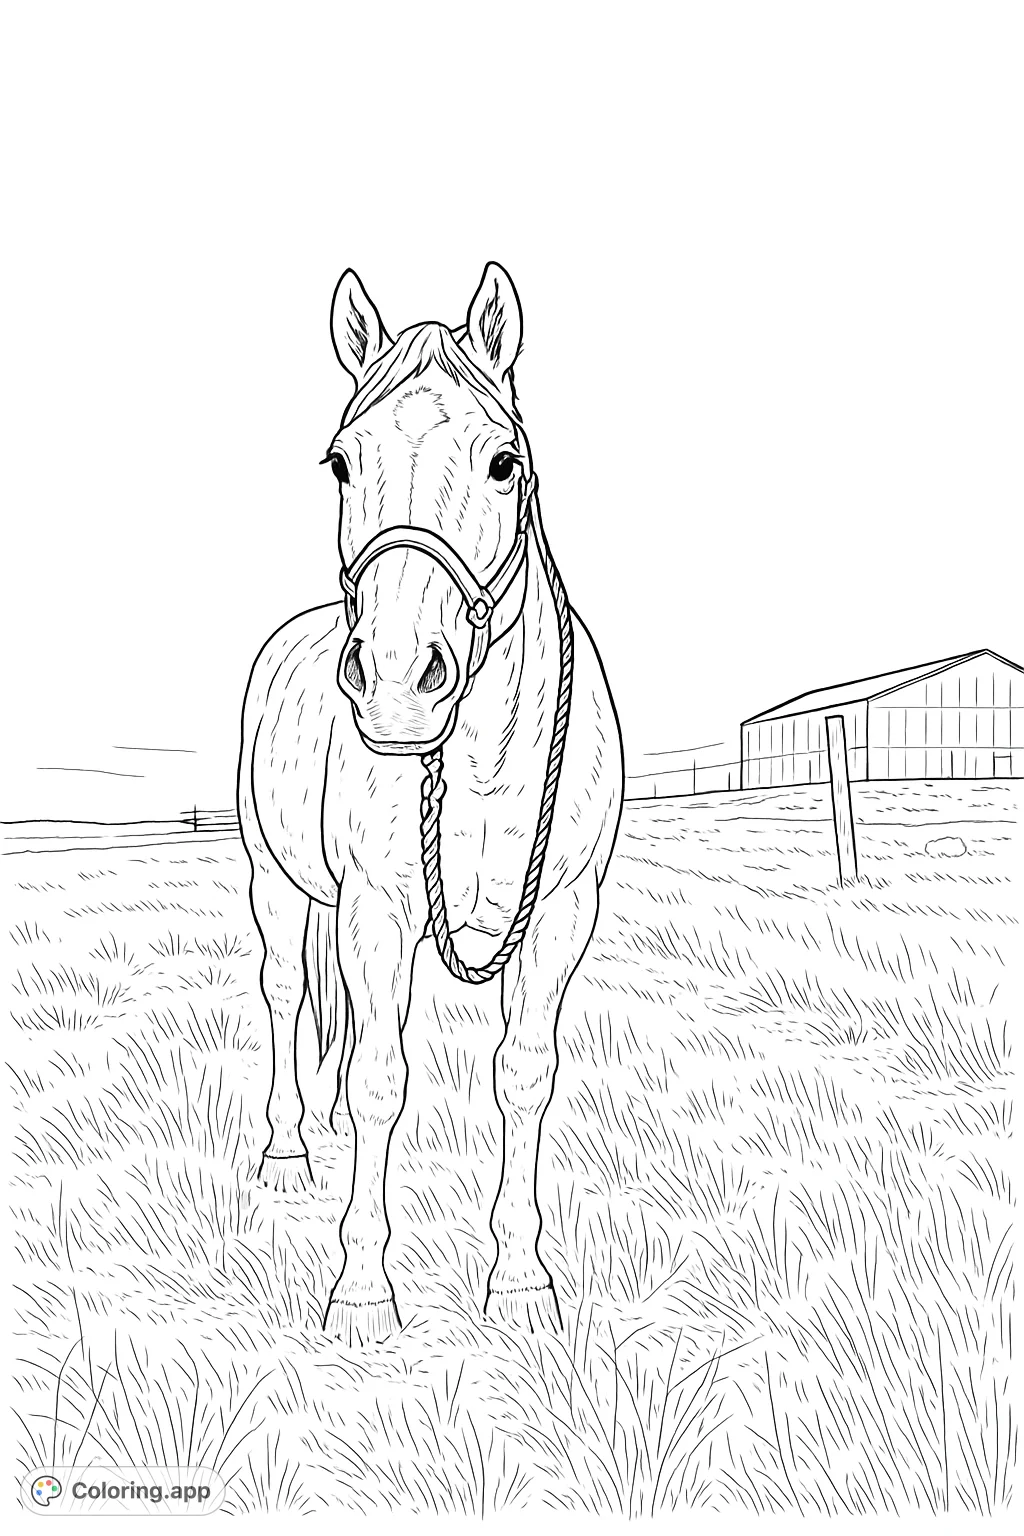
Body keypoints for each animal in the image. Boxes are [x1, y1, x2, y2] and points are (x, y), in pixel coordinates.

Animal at [238, 263, 623, 1345]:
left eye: (502, 462)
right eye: (340, 464)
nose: (399, 683)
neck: (483, 766)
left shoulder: (559, 915)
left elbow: (524, 1073)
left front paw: (520, 1280)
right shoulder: (378, 909)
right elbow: (381, 1078)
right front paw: (364, 1290)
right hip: (280, 887)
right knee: (287, 991)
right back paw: (290, 1153)